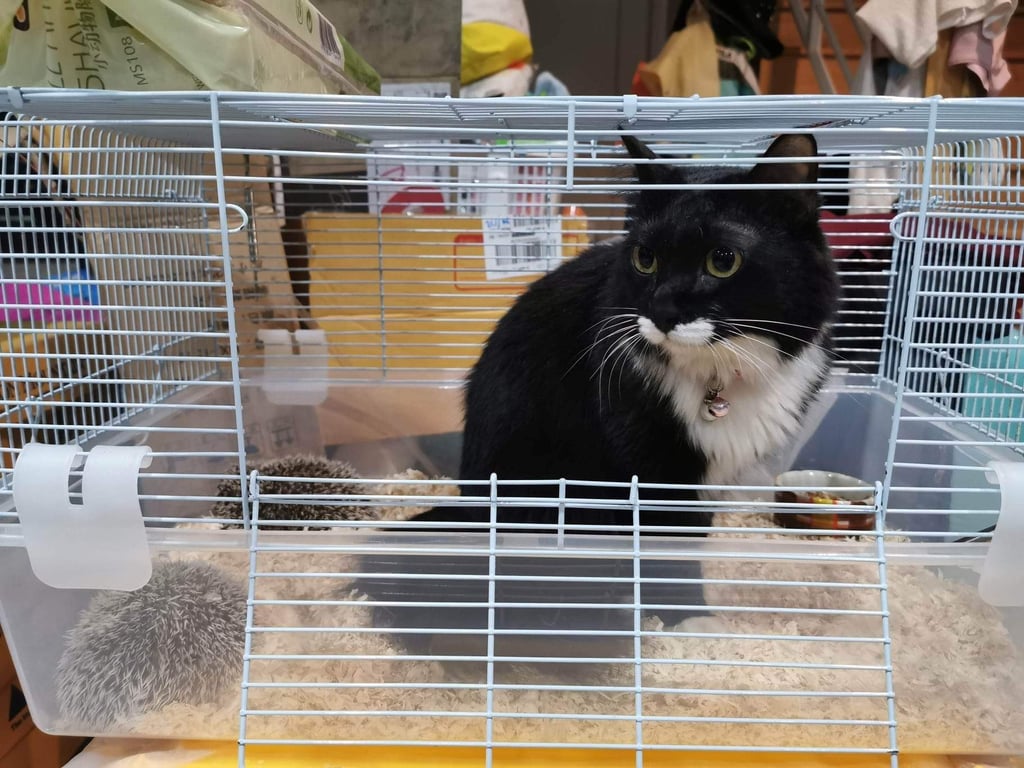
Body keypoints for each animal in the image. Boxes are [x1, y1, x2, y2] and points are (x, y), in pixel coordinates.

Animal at [361, 134, 840, 641]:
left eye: (723, 260)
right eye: (645, 259)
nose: (662, 311)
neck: (718, 373)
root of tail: (466, 509)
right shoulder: (651, 472)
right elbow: (669, 552)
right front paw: (690, 619)